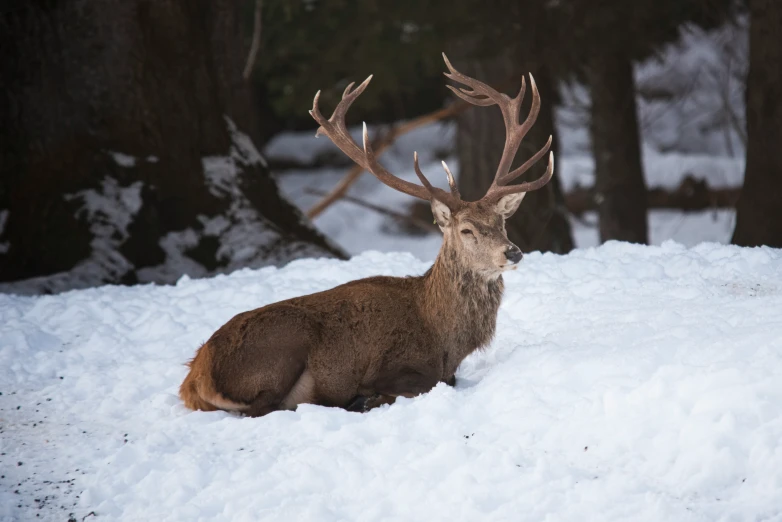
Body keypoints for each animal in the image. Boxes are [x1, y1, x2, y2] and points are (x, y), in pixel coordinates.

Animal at [180, 53, 556, 414]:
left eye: (501, 221)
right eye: (466, 229)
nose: (513, 251)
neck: (443, 337)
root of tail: (195, 377)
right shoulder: (393, 367)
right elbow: (429, 383)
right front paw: (368, 398)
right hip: (282, 347)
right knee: (263, 408)